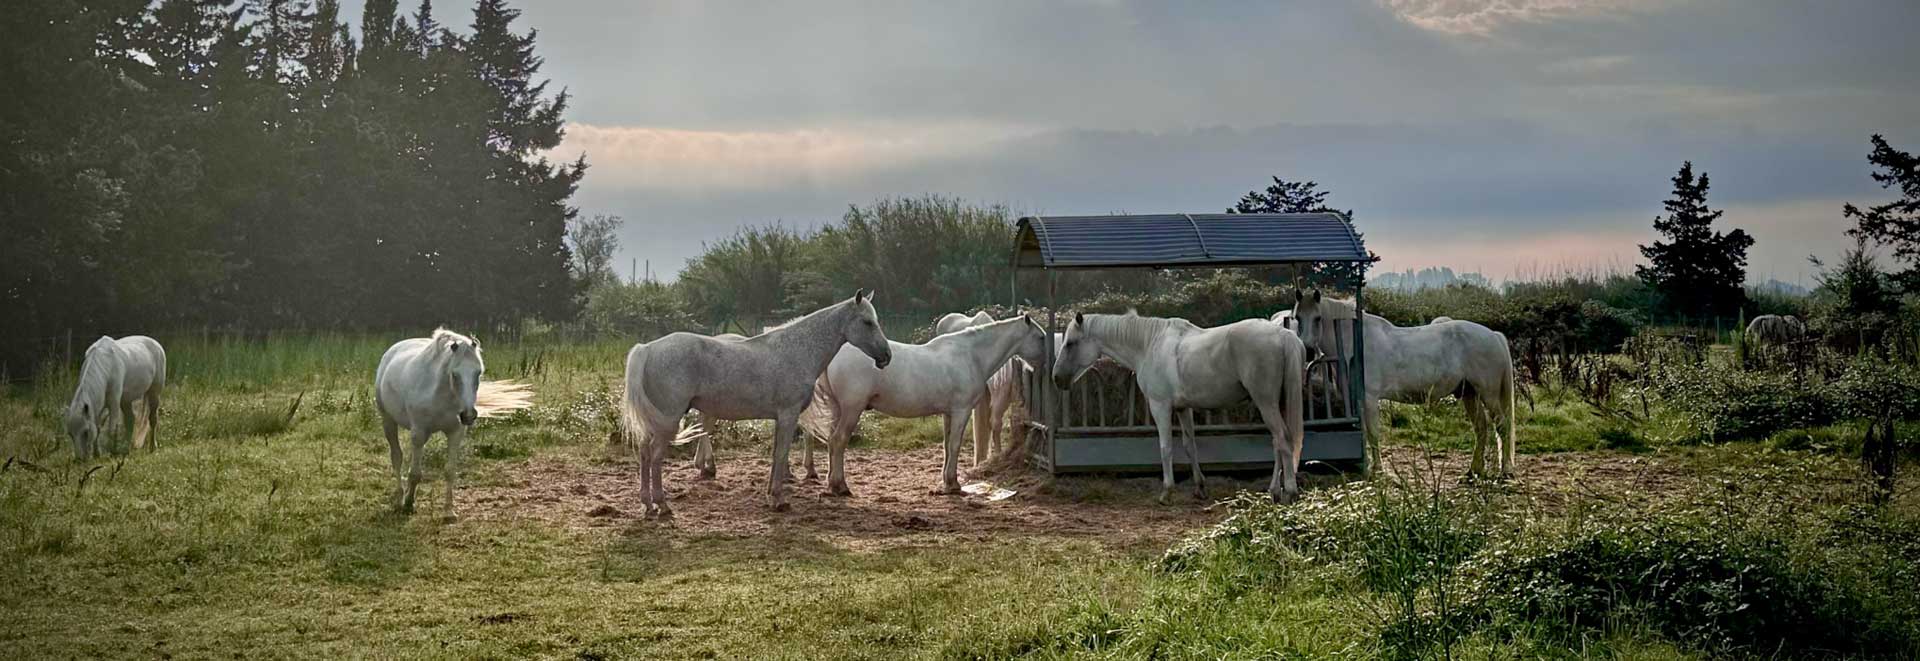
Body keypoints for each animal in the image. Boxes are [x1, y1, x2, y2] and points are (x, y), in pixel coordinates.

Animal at [375, 328, 535, 518]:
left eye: (478, 373)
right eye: (455, 374)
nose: (468, 415)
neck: (441, 393)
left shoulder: (455, 433)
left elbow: (449, 471)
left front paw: (449, 512)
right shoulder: (419, 434)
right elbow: (415, 473)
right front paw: (408, 504)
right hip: (388, 421)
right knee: (397, 457)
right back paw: (399, 500)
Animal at [621, 291, 892, 514]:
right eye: (867, 322)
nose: (886, 356)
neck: (797, 350)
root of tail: (647, 349)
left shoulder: (779, 419)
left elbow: (775, 455)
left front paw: (772, 495)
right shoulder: (788, 415)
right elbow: (781, 454)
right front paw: (779, 500)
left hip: (655, 422)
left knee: (644, 453)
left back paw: (647, 504)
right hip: (668, 419)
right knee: (655, 456)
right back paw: (662, 504)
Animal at [802, 315, 1049, 496]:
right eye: (1040, 337)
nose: (1045, 366)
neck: (971, 355)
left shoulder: (948, 413)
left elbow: (947, 445)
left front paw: (946, 482)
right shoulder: (961, 411)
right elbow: (955, 445)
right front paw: (953, 484)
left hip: (837, 409)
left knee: (832, 442)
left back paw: (833, 485)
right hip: (852, 410)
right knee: (839, 441)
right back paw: (841, 486)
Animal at [1053, 312, 1307, 504]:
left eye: (1070, 343)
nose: (1056, 378)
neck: (1149, 345)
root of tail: (1283, 334)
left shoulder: (1160, 407)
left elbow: (1166, 448)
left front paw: (1167, 491)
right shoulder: (1184, 409)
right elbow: (1189, 445)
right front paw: (1200, 488)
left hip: (1266, 403)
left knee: (1283, 440)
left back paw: (1289, 492)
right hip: (1276, 403)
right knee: (1277, 442)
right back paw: (1274, 491)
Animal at [1291, 290, 1518, 477]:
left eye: (1318, 318)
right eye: (1297, 318)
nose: (1308, 350)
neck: (1357, 344)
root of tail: (1494, 335)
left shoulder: (1370, 398)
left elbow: (1373, 433)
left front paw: (1378, 469)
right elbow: (1364, 433)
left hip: (1488, 394)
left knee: (1502, 425)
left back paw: (1505, 471)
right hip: (1469, 394)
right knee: (1481, 428)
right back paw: (1473, 471)